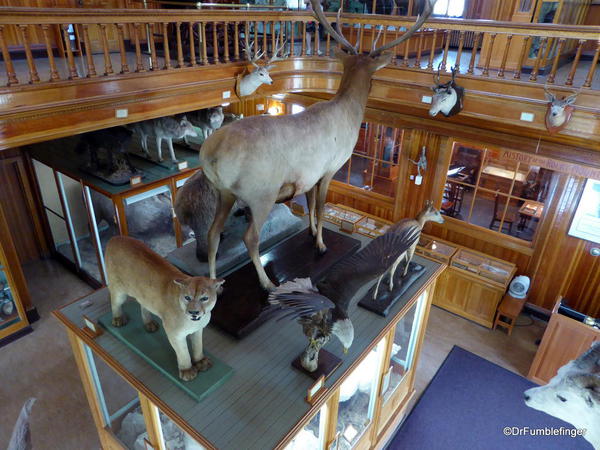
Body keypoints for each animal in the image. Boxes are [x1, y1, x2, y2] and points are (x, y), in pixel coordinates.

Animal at [104, 237, 224, 382]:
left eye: (204, 298)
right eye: (187, 297)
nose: (193, 312)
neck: (193, 321)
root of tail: (115, 238)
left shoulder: (198, 330)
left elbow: (198, 346)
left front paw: (200, 361)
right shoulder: (175, 334)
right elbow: (183, 352)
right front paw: (187, 370)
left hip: (145, 294)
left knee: (143, 304)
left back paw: (149, 324)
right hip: (119, 291)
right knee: (115, 302)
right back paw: (118, 319)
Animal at [202, 0, 436, 290]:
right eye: (373, 76)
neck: (349, 114)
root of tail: (209, 155)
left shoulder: (310, 175)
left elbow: (311, 204)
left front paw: (312, 233)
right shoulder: (330, 167)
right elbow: (323, 208)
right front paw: (322, 245)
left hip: (223, 192)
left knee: (212, 234)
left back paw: (213, 285)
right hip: (261, 193)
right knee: (250, 238)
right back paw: (267, 283)